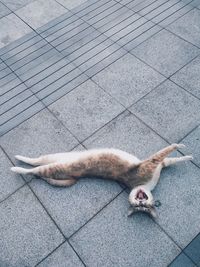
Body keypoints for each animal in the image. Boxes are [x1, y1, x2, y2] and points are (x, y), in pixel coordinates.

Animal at [10, 144, 192, 220]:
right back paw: (17, 164)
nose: (141, 200)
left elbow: (169, 157)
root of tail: (75, 176)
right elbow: (168, 152)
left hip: (55, 162)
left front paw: (186, 155)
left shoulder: (156, 165)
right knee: (34, 167)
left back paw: (18, 163)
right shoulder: (154, 162)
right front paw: (184, 150)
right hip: (55, 160)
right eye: (139, 203)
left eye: (143, 208)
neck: (145, 185)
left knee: (36, 165)